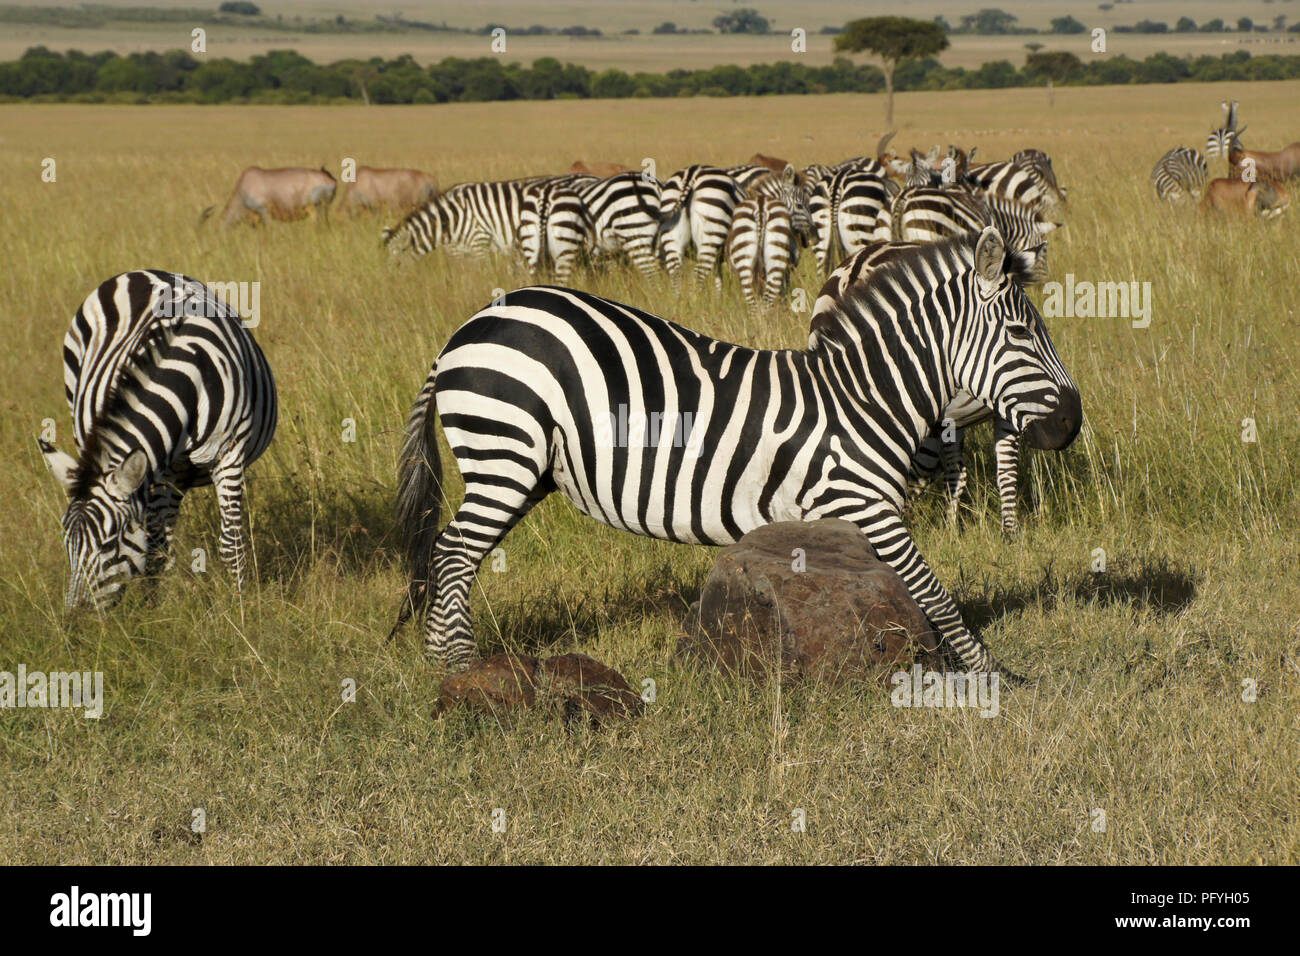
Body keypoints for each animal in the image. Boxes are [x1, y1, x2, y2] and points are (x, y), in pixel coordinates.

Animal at [38, 270, 277, 608]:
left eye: (108, 544)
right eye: (67, 543)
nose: (74, 617)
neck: (189, 375)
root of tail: (134, 273)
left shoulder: (229, 454)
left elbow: (231, 544)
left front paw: (241, 607)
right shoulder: (157, 469)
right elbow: (155, 547)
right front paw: (158, 609)